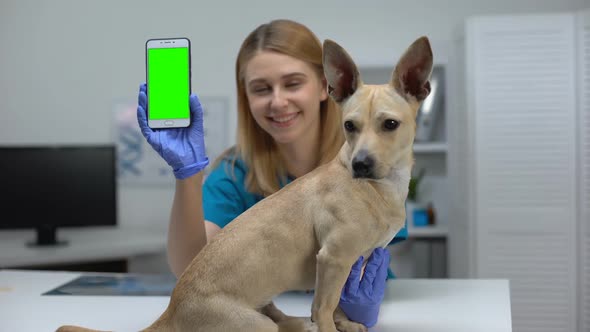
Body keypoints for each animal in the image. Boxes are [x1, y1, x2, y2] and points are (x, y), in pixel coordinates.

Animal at [56, 36, 434, 332]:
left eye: (390, 124)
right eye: (349, 126)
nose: (360, 165)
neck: (380, 187)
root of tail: (172, 310)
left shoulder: (351, 263)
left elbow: (340, 301)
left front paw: (347, 321)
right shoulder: (333, 258)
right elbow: (324, 306)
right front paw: (331, 328)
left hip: (264, 307)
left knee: (283, 319)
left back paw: (298, 322)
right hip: (255, 325)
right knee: (282, 324)